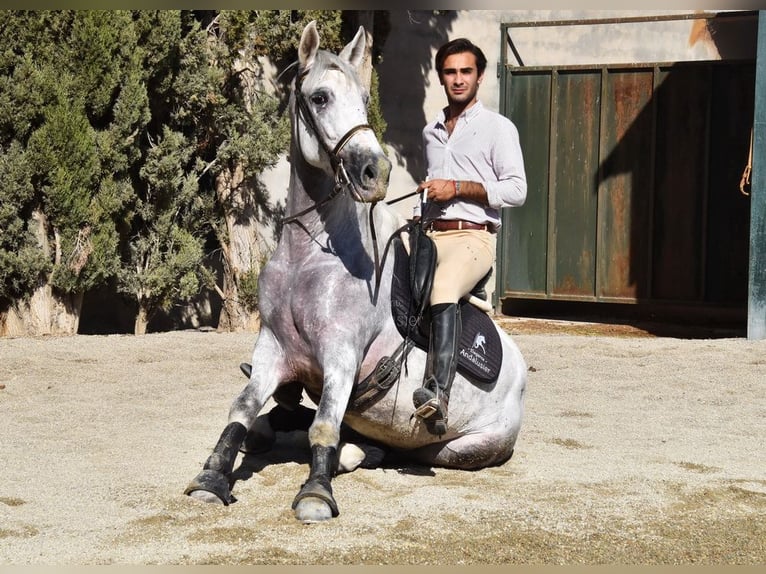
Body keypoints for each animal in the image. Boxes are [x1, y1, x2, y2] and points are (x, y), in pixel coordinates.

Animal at [185, 20, 527, 523]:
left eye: (364, 100)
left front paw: (316, 493)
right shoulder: (271, 348)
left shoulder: (342, 355)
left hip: (465, 448)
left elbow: (324, 425)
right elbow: (243, 409)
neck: (308, 258)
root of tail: (520, 374)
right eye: (320, 97)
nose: (374, 172)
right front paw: (211, 477)